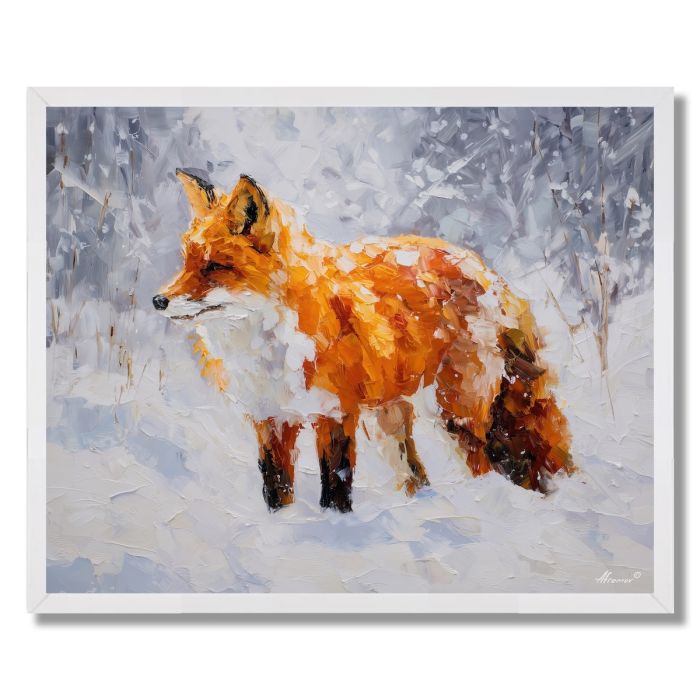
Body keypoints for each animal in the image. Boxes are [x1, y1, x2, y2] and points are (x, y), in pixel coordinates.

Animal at [153, 169, 574, 512]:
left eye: (214, 267)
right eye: (186, 261)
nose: (159, 301)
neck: (272, 351)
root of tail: (488, 273)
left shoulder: (337, 413)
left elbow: (335, 488)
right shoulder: (271, 418)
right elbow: (276, 490)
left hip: (454, 414)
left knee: (482, 468)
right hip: (393, 420)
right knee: (418, 476)